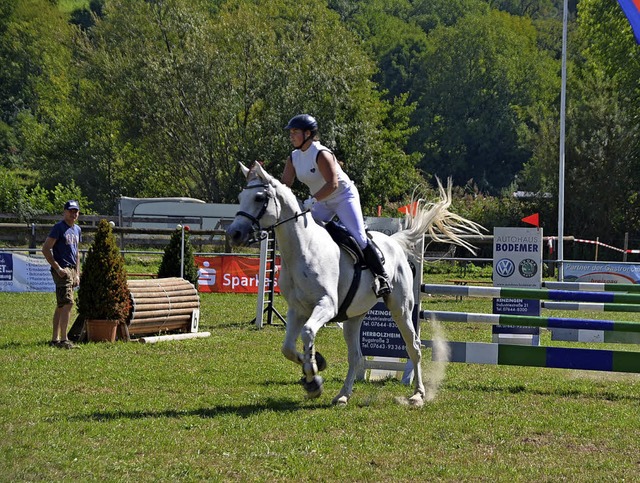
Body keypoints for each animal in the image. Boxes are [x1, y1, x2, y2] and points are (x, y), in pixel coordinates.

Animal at [228, 164, 482, 408]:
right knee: (356, 357)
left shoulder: (326, 306)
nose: (234, 233)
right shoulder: (297, 310)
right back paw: (343, 396)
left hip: (401, 309)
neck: (302, 249)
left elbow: (308, 332)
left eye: (259, 197)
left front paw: (313, 378)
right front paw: (315, 366)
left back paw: (417, 395)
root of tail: (395, 242)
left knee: (414, 348)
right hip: (353, 317)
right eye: (240, 196)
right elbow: (288, 348)